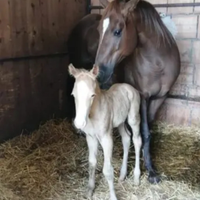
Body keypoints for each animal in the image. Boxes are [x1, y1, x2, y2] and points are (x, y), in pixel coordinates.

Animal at [67, 0, 181, 184]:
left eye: (117, 31)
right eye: (99, 31)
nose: (100, 71)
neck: (158, 63)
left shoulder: (160, 98)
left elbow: (148, 132)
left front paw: (149, 166)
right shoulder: (143, 96)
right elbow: (144, 132)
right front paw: (150, 172)